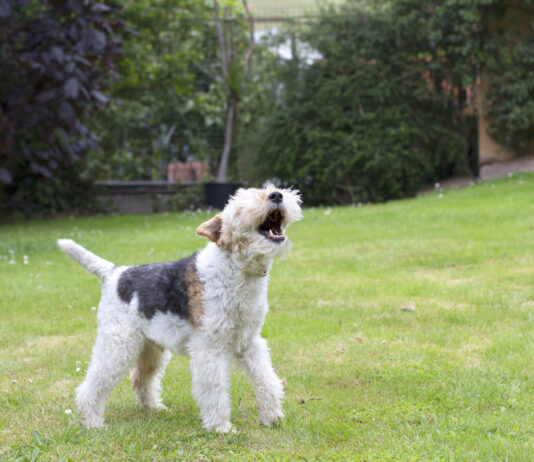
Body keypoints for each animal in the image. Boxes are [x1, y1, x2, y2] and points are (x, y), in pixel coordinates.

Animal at [58, 185, 304, 434]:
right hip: (118, 345)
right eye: (240, 207)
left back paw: (155, 408)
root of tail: (114, 273)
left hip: (150, 348)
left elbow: (266, 379)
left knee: (141, 379)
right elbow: (215, 390)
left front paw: (273, 418)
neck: (236, 269)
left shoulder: (249, 341)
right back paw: (93, 422)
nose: (277, 195)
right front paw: (221, 428)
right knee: (91, 386)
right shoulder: (209, 347)